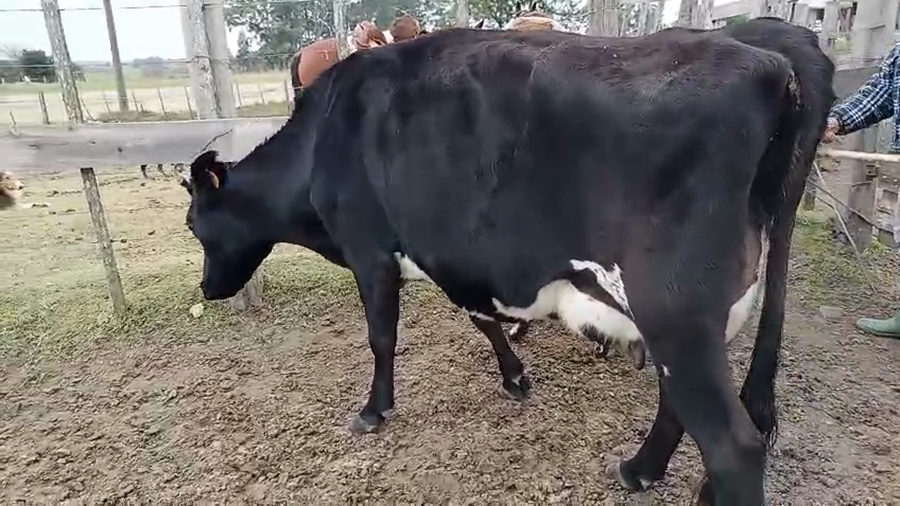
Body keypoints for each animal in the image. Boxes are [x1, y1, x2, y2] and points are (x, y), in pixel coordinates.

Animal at [181, 23, 834, 505]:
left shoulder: (370, 251)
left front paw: (373, 410)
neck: (324, 137)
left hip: (674, 308)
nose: (207, 291)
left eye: (193, 224)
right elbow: (483, 318)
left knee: (733, 446)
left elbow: (382, 337)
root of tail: (774, 66)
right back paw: (639, 469)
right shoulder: (457, 257)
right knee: (679, 404)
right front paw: (515, 376)